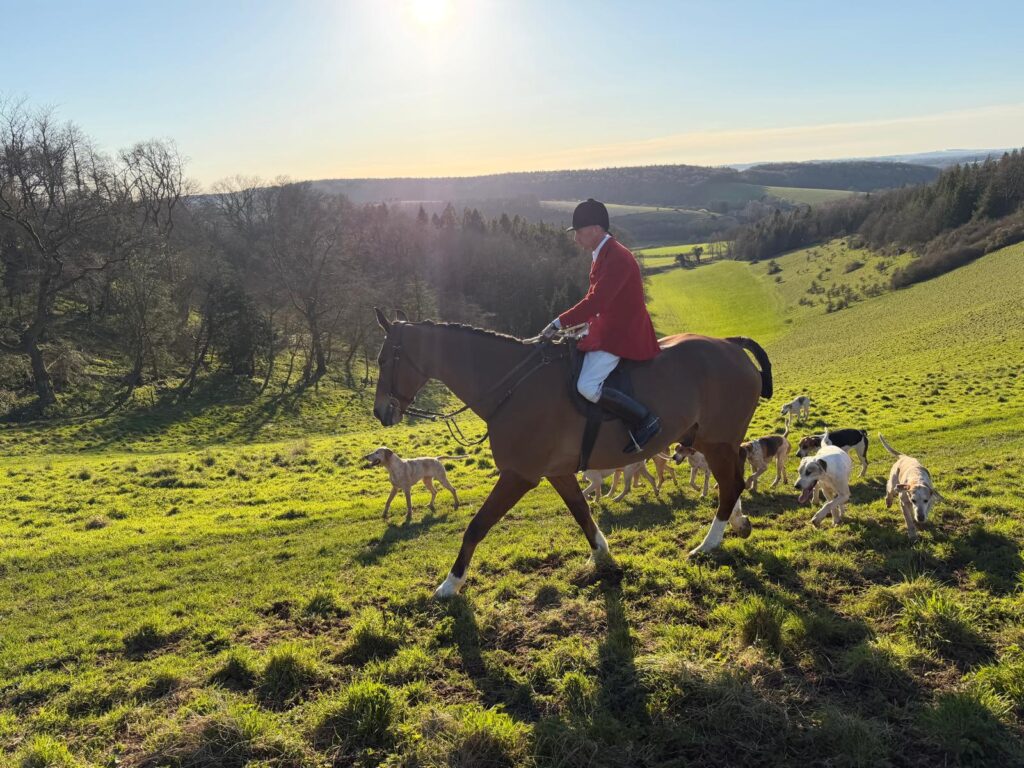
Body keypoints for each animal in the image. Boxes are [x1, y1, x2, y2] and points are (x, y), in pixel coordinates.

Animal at [371, 308, 772, 597]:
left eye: (383, 360)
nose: (380, 413)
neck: (513, 385)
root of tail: (730, 345)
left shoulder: (519, 475)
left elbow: (476, 526)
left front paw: (450, 585)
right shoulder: (557, 472)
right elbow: (582, 513)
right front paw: (603, 556)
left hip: (716, 442)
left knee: (730, 485)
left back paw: (707, 545)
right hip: (709, 441)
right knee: (733, 480)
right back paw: (737, 524)